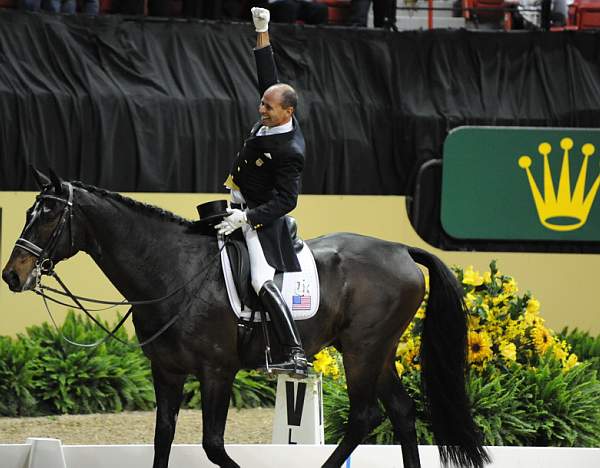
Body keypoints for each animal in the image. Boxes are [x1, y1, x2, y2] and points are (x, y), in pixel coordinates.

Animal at [2, 172, 490, 468]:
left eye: (48, 215)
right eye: (28, 212)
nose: (13, 275)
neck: (171, 269)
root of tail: (400, 248)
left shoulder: (217, 372)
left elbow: (213, 446)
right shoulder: (167, 372)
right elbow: (163, 437)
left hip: (362, 351)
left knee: (364, 416)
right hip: (378, 351)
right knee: (402, 412)